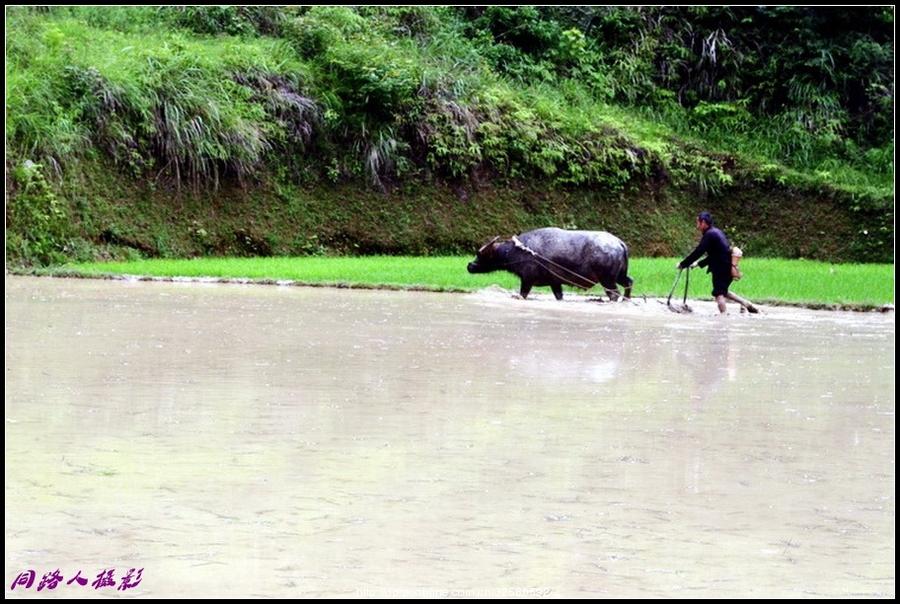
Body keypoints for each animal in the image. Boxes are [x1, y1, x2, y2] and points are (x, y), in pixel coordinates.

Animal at [472, 228, 632, 300]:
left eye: (480, 255)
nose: (470, 266)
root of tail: (619, 243)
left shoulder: (527, 280)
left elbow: (523, 293)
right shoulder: (555, 283)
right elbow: (559, 295)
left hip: (607, 279)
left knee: (614, 293)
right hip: (619, 275)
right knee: (629, 282)